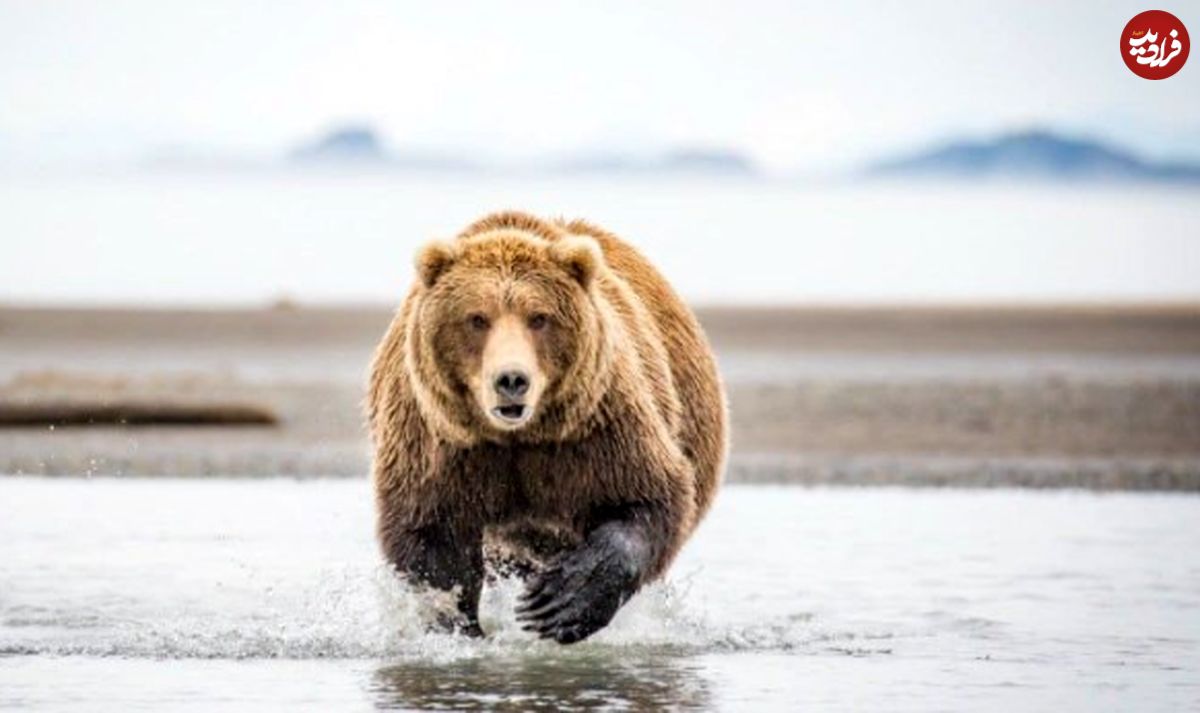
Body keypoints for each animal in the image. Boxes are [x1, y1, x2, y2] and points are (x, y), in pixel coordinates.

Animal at [364, 211, 724, 643]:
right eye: (477, 318)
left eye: (539, 317)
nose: (511, 379)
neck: (517, 437)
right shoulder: (441, 444)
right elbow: (434, 541)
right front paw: (459, 626)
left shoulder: (597, 428)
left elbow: (646, 496)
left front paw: (561, 602)